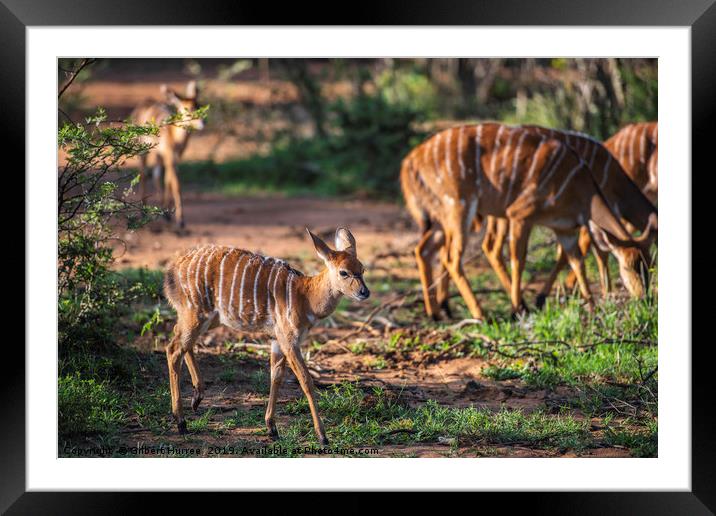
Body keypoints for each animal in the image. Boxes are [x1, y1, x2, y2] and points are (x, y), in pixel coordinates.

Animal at [130, 80, 204, 228]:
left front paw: (168, 213)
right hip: (142, 151)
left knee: (156, 175)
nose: (202, 123)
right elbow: (176, 185)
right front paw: (180, 221)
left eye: (198, 105)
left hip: (158, 156)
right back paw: (143, 212)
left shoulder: (175, 158)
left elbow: (168, 181)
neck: (174, 137)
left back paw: (163, 213)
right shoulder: (169, 158)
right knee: (143, 175)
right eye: (187, 109)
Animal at [162, 228, 370, 446]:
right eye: (344, 272)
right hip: (196, 313)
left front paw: (272, 428)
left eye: (362, 269)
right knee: (174, 349)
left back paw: (197, 397)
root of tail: (170, 271)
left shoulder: (276, 340)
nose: (365, 292)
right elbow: (306, 380)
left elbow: (275, 376)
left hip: (209, 318)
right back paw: (181, 421)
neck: (305, 295)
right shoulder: (289, 339)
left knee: (180, 338)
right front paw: (322, 436)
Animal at [400, 123, 652, 320]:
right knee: (454, 256)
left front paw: (592, 306)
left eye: (651, 266)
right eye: (629, 267)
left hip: (444, 217)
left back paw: (436, 312)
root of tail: (410, 161)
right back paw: (480, 314)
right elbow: (519, 260)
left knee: (425, 250)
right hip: (460, 209)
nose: (645, 299)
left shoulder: (566, 229)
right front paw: (519, 308)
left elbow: (576, 261)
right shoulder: (520, 214)